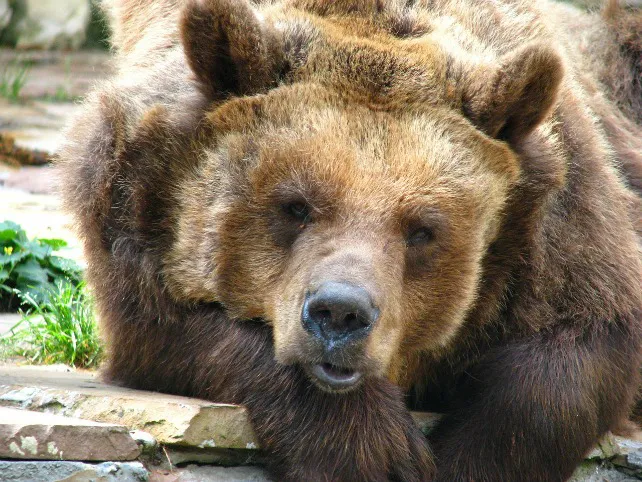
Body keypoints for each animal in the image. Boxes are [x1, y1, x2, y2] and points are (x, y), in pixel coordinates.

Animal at [57, 0, 642, 480]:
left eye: (422, 228)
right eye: (295, 205)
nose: (340, 313)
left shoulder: (560, 225)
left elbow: (573, 354)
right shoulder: (133, 204)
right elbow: (172, 327)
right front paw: (371, 451)